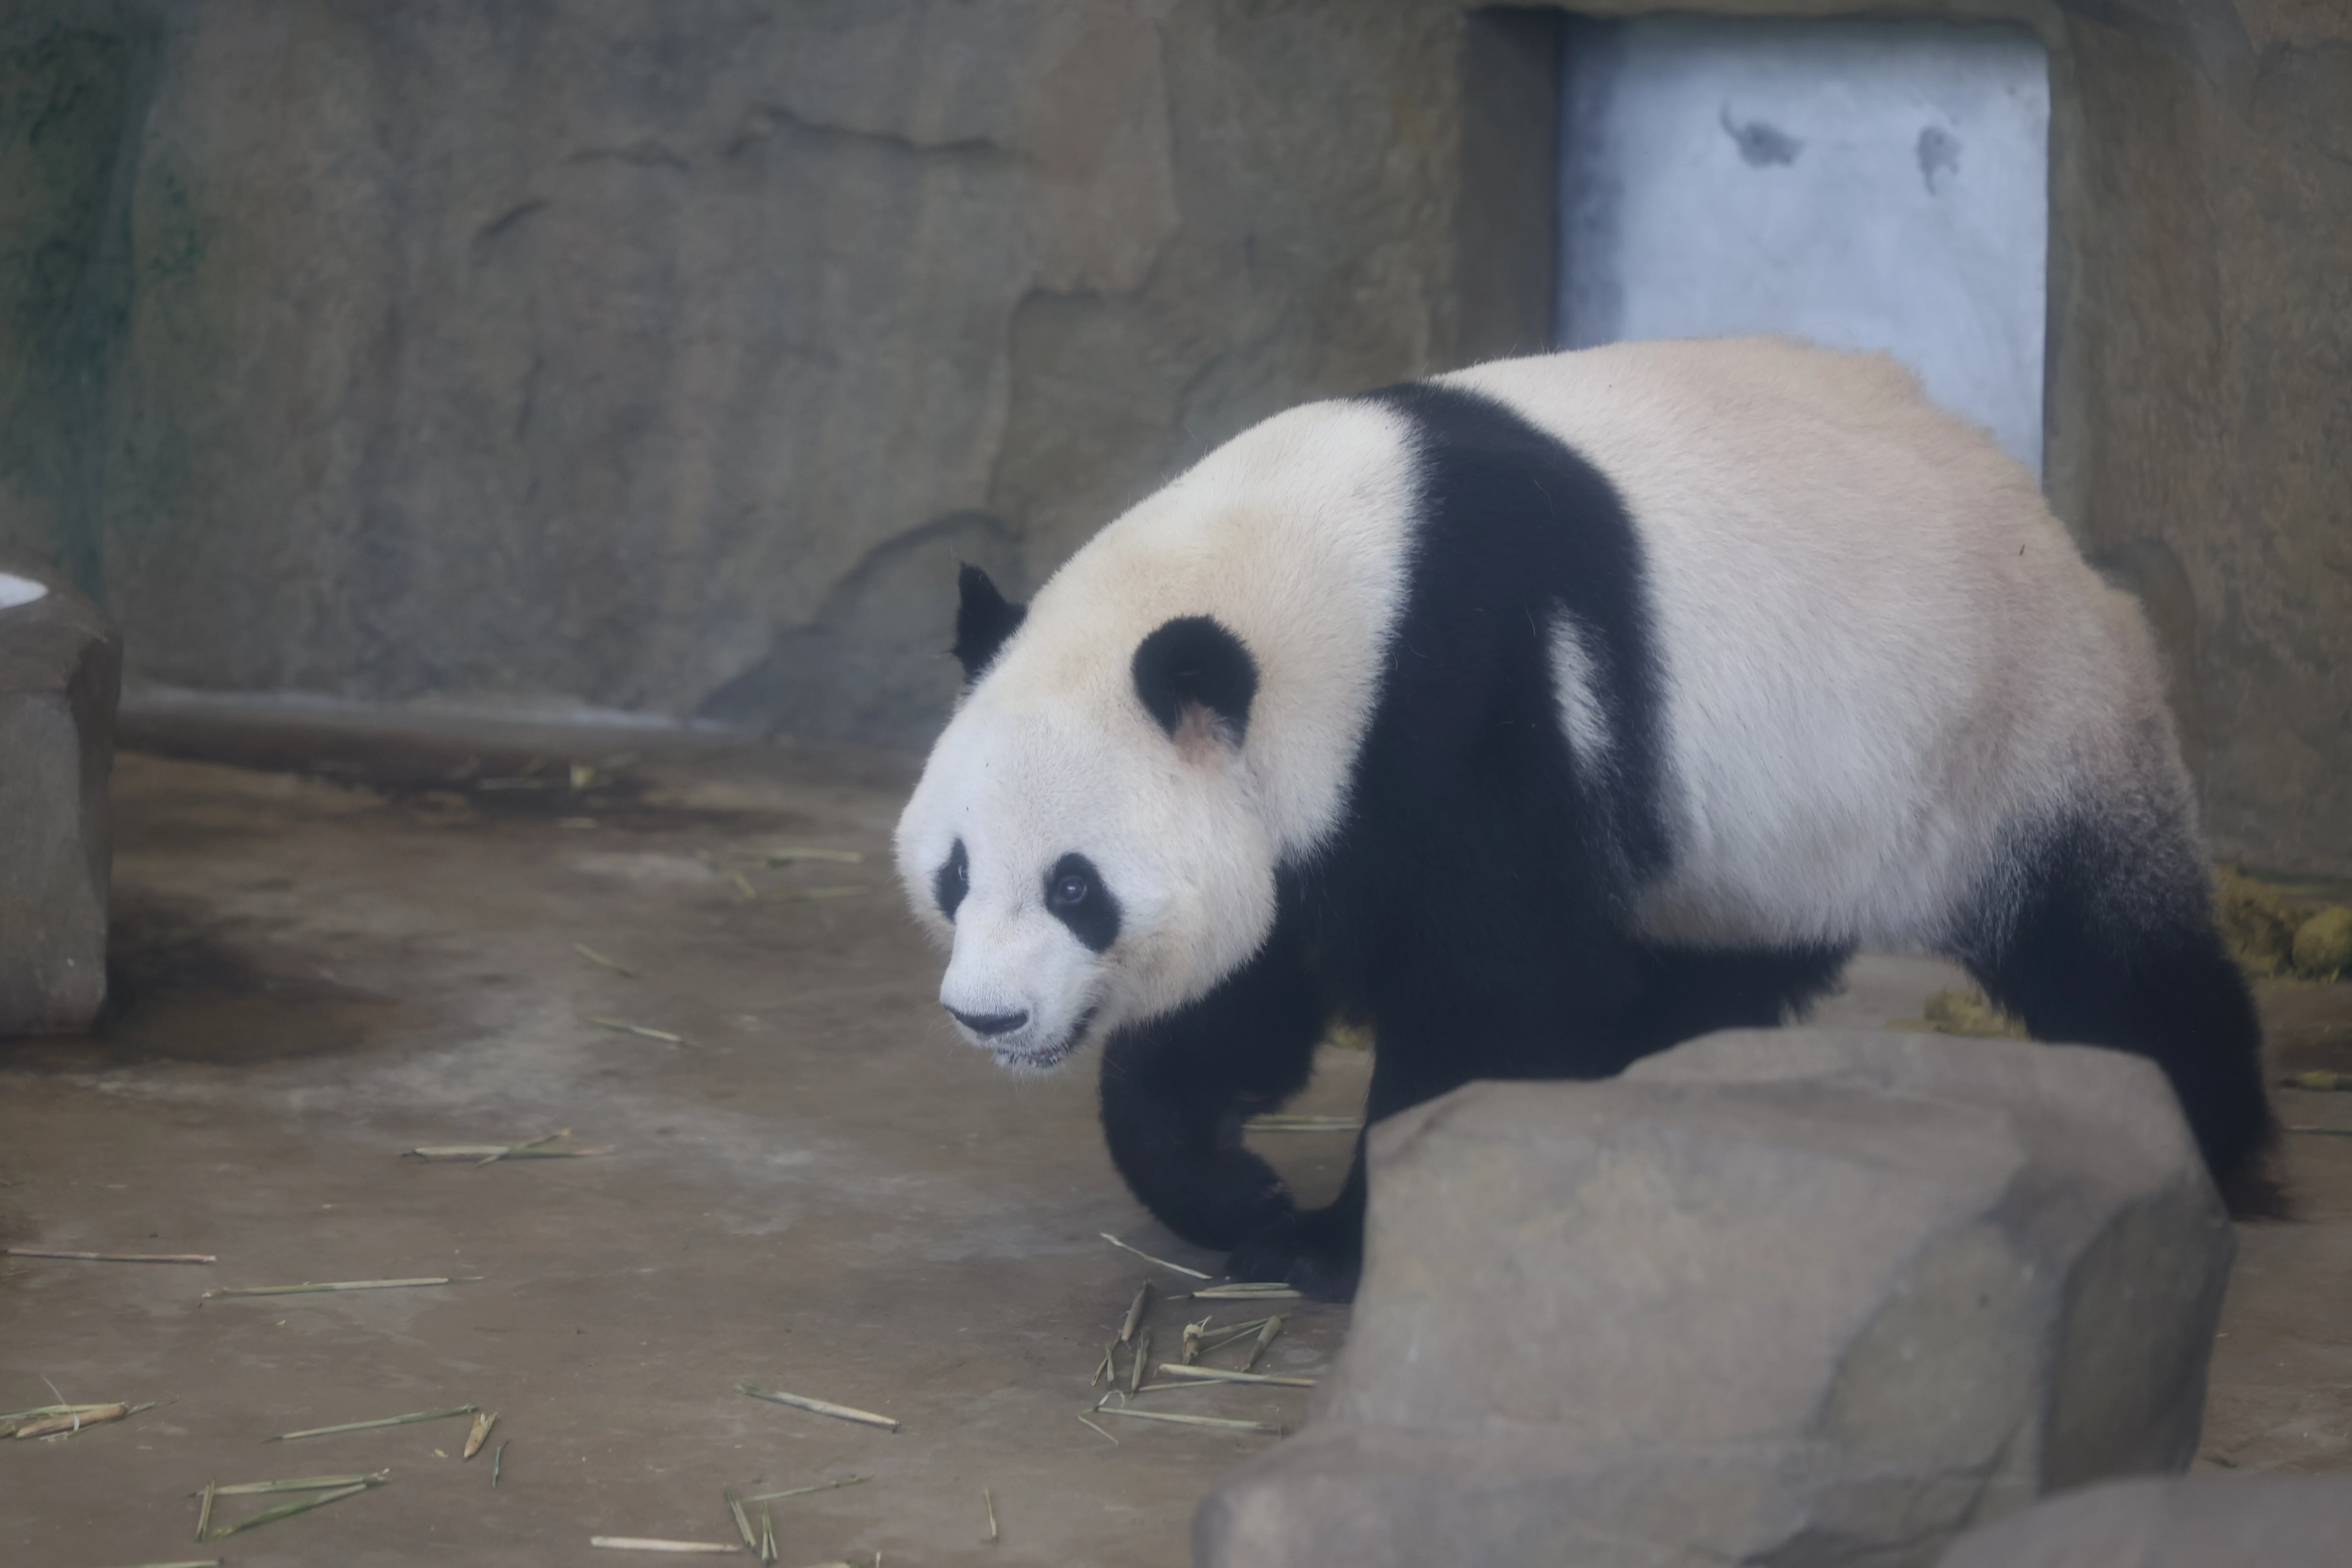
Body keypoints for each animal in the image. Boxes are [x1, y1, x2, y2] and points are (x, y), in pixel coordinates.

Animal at [893, 336, 2276, 1302]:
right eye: (955, 874)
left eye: (1075, 884)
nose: (987, 1017)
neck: (1320, 574)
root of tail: (2036, 507)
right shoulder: (1311, 800)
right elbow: (1246, 989)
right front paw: (1241, 1189)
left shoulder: (1465, 692)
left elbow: (1492, 991)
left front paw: (1354, 1240)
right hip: (1758, 829)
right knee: (1714, 959)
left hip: (2008, 724)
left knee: (2105, 948)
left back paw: (2210, 1146)